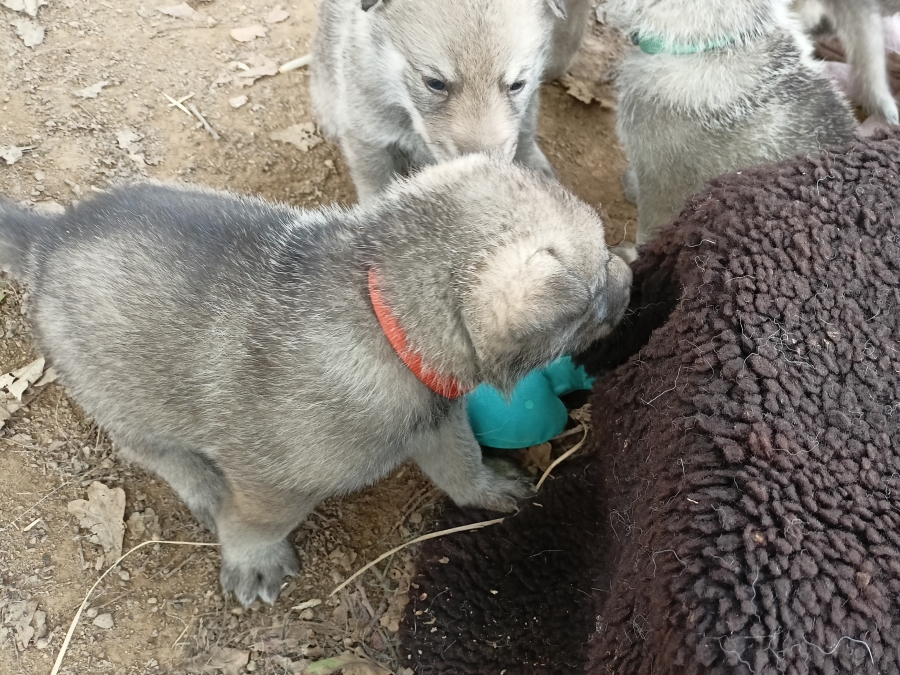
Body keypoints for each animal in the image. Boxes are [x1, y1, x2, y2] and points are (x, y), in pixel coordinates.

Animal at [0, 156, 631, 606]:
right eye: (595, 290)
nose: (629, 271)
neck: (384, 316)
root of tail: (48, 238)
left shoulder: (435, 422)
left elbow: (462, 465)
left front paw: (489, 488)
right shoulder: (273, 484)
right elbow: (253, 523)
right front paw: (252, 561)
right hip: (124, 396)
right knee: (147, 448)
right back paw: (200, 482)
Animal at [311, 0, 572, 200]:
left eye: (517, 85)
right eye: (435, 83)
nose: (484, 165)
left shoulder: (530, 101)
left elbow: (525, 133)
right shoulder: (368, 137)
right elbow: (375, 185)